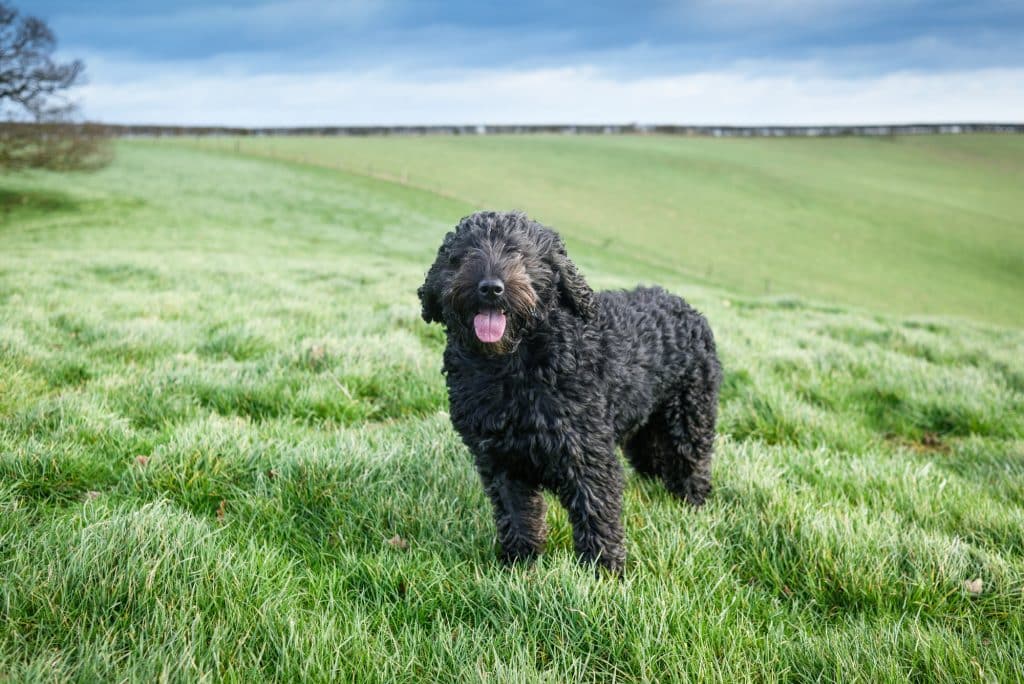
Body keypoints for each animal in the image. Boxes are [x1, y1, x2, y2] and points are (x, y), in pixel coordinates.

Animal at [415, 210, 720, 573]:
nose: (490, 287)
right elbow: (517, 515)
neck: (513, 366)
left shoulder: (587, 453)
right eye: (463, 255)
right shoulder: (500, 460)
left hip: (689, 415)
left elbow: (596, 512)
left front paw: (604, 572)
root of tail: (688, 308)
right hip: (645, 423)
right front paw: (519, 564)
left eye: (520, 253)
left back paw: (692, 506)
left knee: (692, 463)